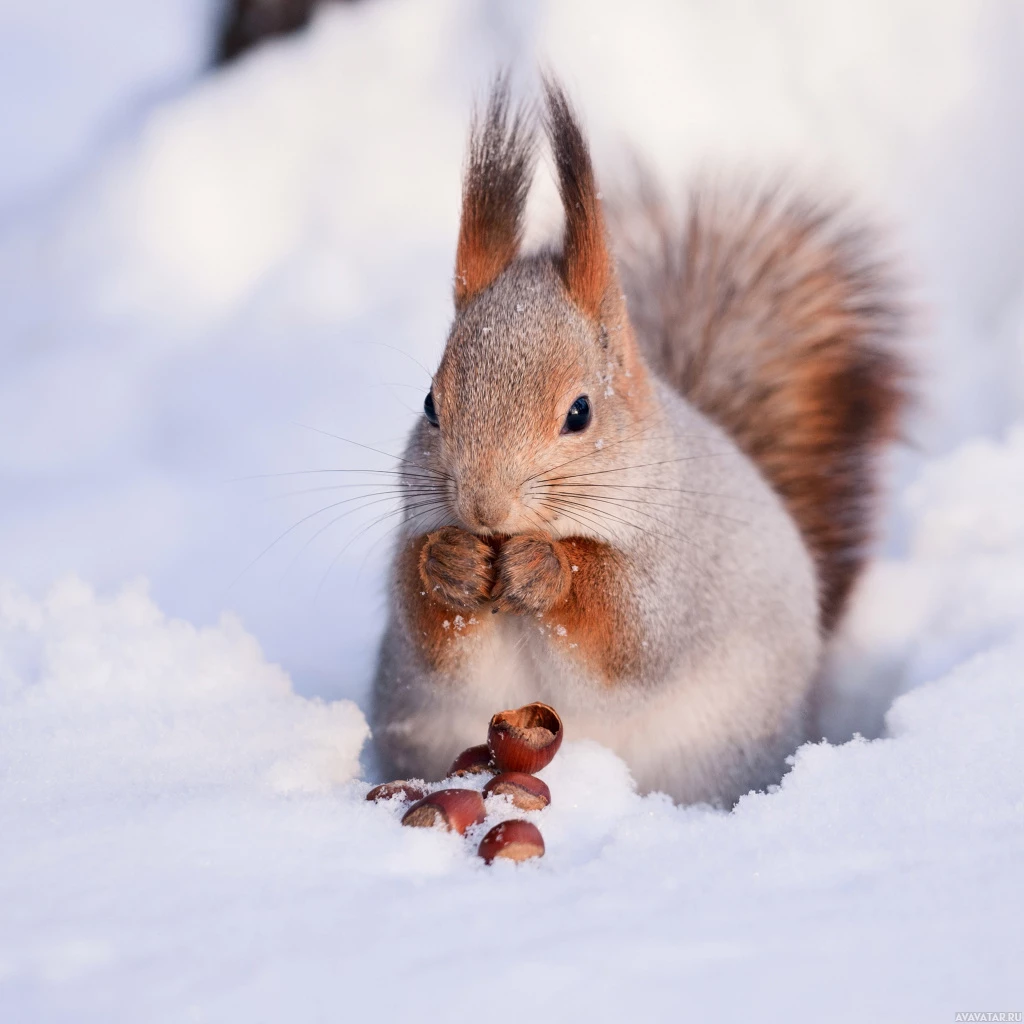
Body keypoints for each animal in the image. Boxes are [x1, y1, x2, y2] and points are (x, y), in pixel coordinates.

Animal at [370, 75, 913, 802]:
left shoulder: (678, 571)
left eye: (580, 413)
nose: (484, 508)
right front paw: (449, 562)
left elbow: (625, 639)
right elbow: (428, 633)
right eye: (431, 405)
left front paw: (547, 568)